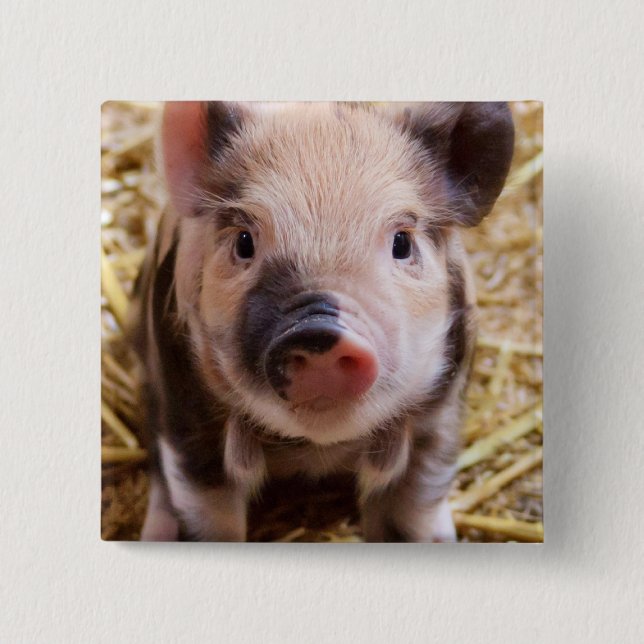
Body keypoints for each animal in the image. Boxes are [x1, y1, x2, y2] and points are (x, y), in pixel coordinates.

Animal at [130, 101, 514, 542]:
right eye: (244, 242)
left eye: (402, 242)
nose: (319, 331)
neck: (316, 449)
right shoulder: (186, 411)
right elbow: (207, 515)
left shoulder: (440, 415)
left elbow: (412, 511)